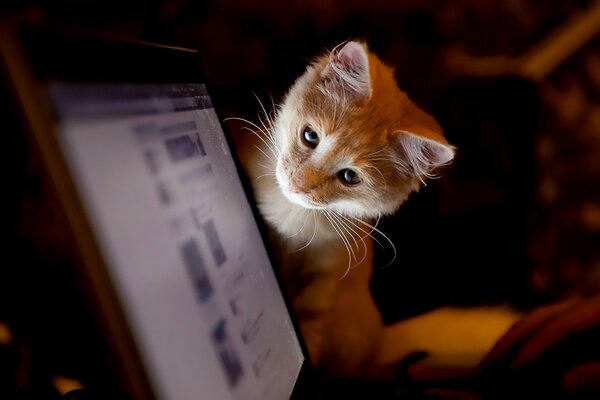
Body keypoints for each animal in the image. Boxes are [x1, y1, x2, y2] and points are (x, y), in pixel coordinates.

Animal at [237, 41, 516, 382]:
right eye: (310, 137)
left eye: (349, 177)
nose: (296, 185)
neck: (289, 217)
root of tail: (380, 337)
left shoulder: (326, 279)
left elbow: (308, 328)